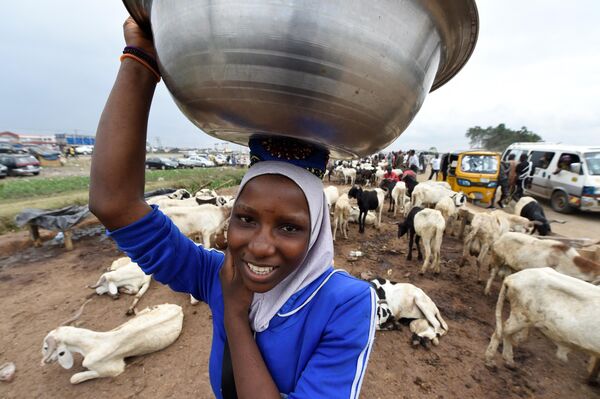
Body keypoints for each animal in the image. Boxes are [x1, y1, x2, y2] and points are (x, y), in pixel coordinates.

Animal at [40, 304, 182, 386]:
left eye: (46, 347)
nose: (45, 361)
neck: (94, 344)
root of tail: (179, 308)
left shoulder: (113, 370)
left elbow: (74, 378)